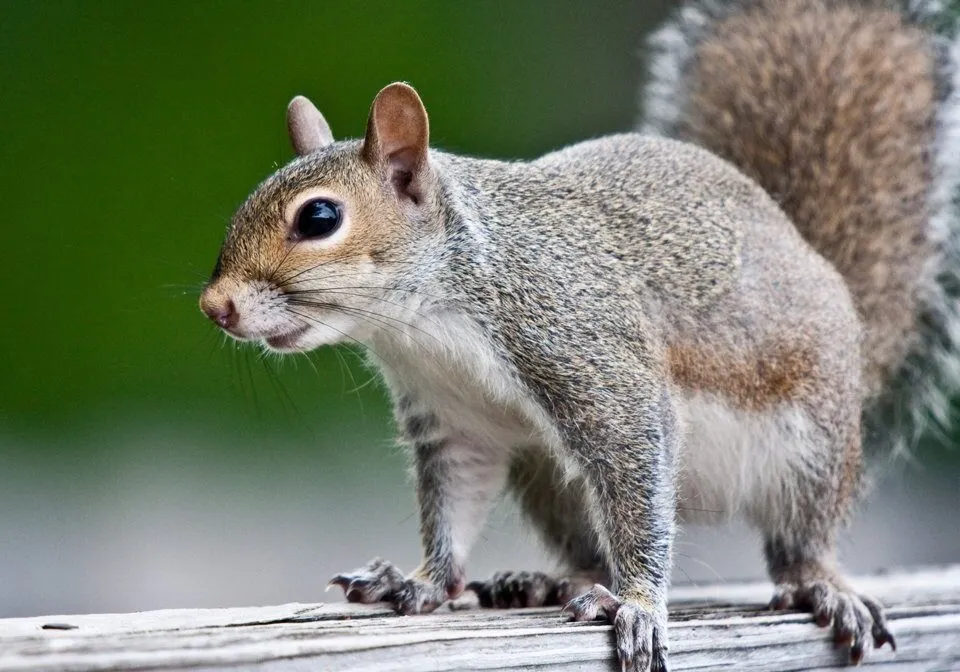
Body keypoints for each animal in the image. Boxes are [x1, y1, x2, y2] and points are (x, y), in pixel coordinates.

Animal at [198, 0, 960, 670]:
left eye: (319, 218)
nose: (214, 306)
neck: (426, 324)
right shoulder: (455, 417)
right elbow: (454, 502)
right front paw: (421, 582)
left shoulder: (588, 352)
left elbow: (635, 476)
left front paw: (640, 606)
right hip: (549, 480)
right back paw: (549, 582)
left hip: (809, 443)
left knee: (800, 539)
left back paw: (818, 585)